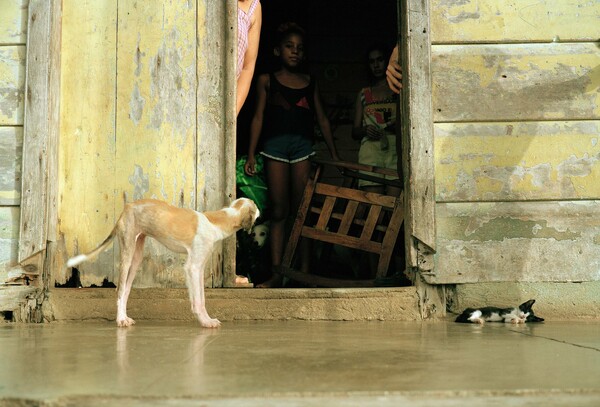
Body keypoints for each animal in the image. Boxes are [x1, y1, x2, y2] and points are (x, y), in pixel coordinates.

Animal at [67, 198, 258, 328]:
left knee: (126, 289)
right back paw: (120, 319)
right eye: (255, 207)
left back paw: (124, 317)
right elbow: (198, 301)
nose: (261, 211)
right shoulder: (192, 268)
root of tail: (127, 208)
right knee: (120, 289)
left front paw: (207, 319)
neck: (218, 220)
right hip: (127, 253)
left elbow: (201, 297)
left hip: (136, 257)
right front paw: (205, 321)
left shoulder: (199, 267)